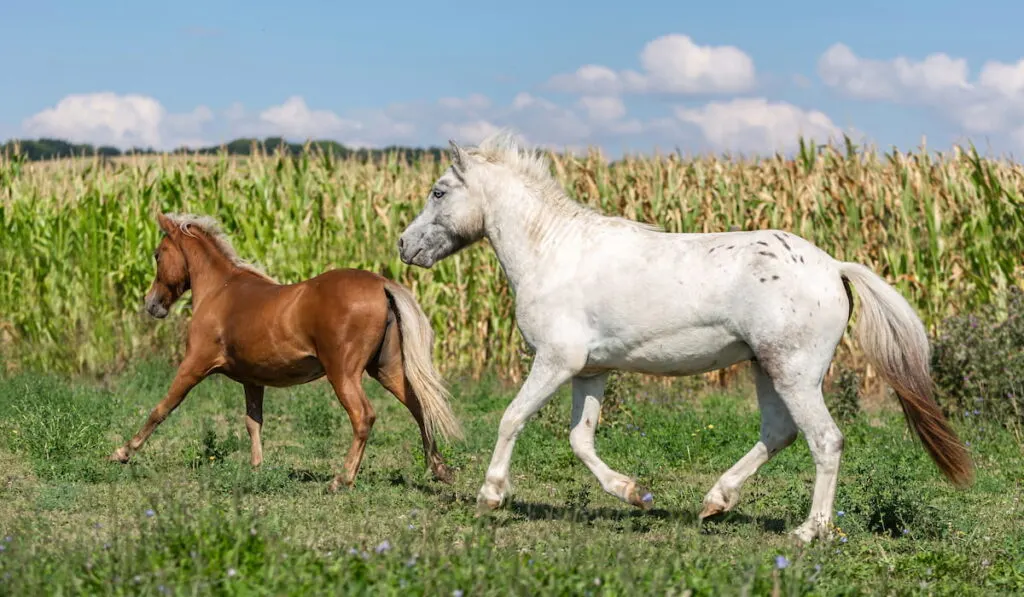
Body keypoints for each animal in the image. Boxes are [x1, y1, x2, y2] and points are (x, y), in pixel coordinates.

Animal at [110, 212, 462, 493]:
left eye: (158, 254)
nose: (152, 304)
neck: (220, 291)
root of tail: (380, 284)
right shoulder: (252, 380)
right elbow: (253, 421)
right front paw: (256, 468)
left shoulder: (194, 365)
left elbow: (162, 408)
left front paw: (122, 452)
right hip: (386, 367)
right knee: (419, 405)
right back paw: (440, 469)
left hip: (343, 372)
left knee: (364, 416)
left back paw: (341, 479)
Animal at [395, 131, 970, 540]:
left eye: (439, 191)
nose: (404, 245)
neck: (553, 252)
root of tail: (833, 268)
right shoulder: (590, 370)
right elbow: (581, 439)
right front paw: (635, 494)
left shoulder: (556, 361)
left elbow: (511, 418)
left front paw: (490, 496)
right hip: (767, 369)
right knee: (779, 434)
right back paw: (715, 503)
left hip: (794, 373)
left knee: (825, 440)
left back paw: (810, 532)